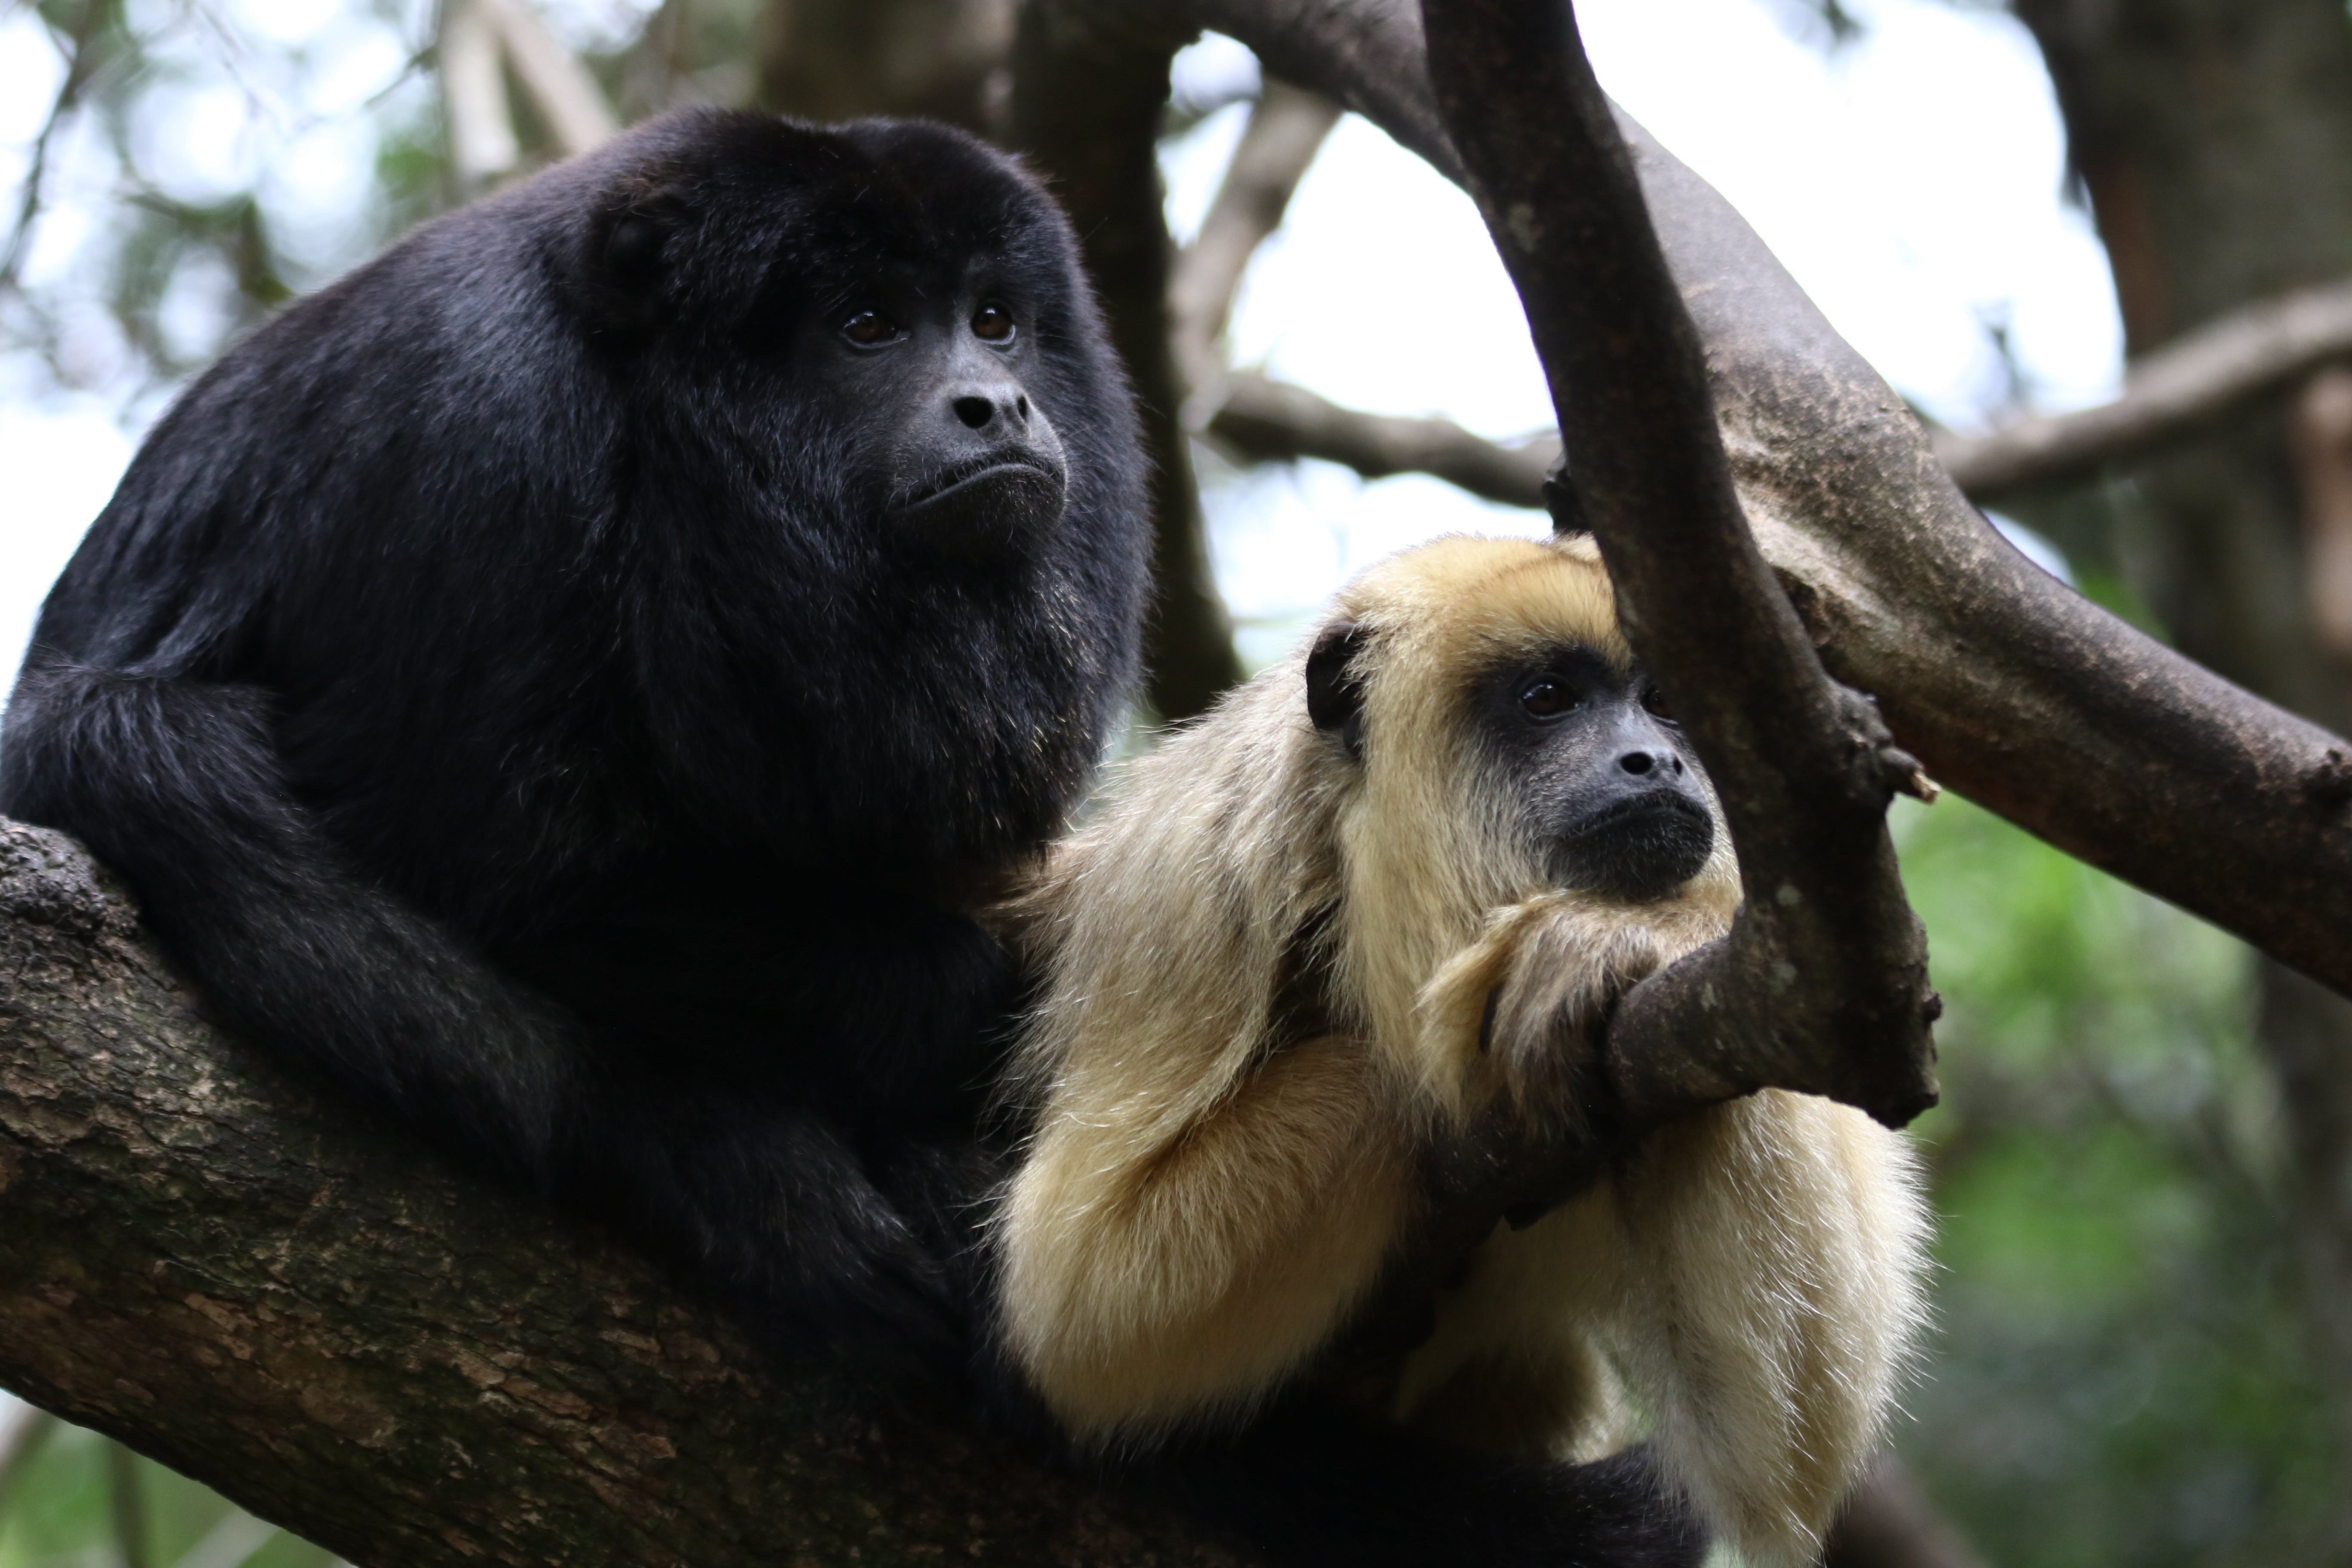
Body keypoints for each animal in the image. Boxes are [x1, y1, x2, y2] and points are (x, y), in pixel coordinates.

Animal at [992, 533, 1929, 1561]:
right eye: (1550, 698)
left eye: (1665, 702)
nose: (1658, 760)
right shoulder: (1188, 890)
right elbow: (1089, 1318)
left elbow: (1788, 1437)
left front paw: (1630, 938)